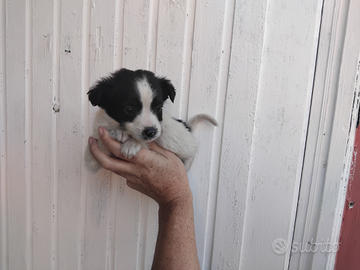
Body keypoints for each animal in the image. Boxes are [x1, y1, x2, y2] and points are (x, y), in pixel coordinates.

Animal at [85, 68, 217, 173]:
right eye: (129, 109)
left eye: (158, 107)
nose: (151, 132)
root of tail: (187, 127)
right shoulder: (99, 127)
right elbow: (97, 145)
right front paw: (119, 134)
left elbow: (143, 141)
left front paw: (131, 144)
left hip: (171, 136)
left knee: (191, 151)